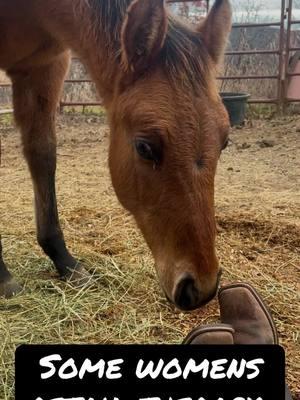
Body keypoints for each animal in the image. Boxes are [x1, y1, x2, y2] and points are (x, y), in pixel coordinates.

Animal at [0, 0, 232, 310]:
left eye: (225, 142)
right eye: (144, 147)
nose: (200, 288)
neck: (32, 11)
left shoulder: (44, 67)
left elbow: (43, 156)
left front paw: (66, 262)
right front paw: (3, 276)